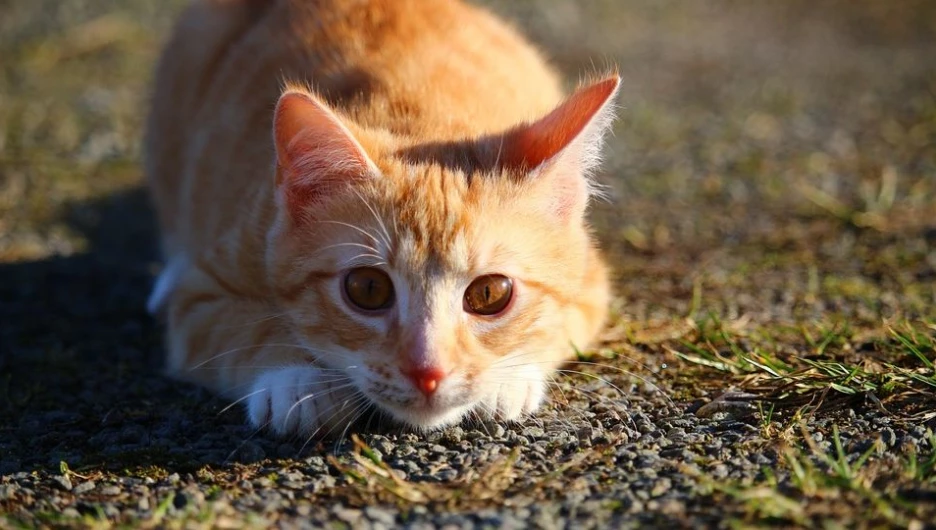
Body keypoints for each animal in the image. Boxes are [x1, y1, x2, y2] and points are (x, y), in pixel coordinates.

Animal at [144, 0, 616, 438]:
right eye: (368, 288)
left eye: (489, 294)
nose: (428, 372)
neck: (421, 117)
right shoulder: (203, 293)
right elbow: (242, 329)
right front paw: (298, 380)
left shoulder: (592, 281)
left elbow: (561, 324)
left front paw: (507, 378)